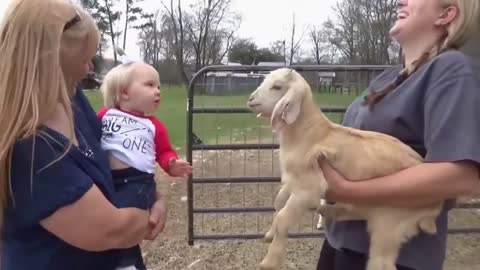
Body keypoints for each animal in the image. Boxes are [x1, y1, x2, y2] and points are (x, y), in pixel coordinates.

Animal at [246, 68, 444, 270]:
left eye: (277, 86)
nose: (251, 99)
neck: (311, 133)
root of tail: (435, 208)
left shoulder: (308, 188)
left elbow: (283, 218)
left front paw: (270, 261)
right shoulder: (293, 180)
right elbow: (278, 202)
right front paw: (269, 235)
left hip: (390, 223)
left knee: (382, 261)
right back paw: (329, 211)